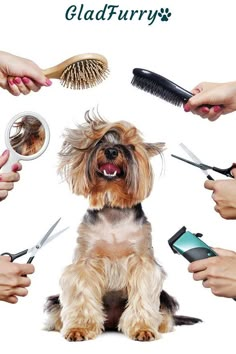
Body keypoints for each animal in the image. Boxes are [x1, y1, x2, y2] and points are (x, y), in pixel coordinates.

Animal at [44, 112, 201, 342]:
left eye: (131, 146)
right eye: (99, 142)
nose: (111, 151)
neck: (114, 207)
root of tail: (111, 322)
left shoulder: (142, 262)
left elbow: (142, 295)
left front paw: (143, 329)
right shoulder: (85, 263)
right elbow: (82, 295)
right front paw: (79, 328)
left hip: (164, 299)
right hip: (56, 302)